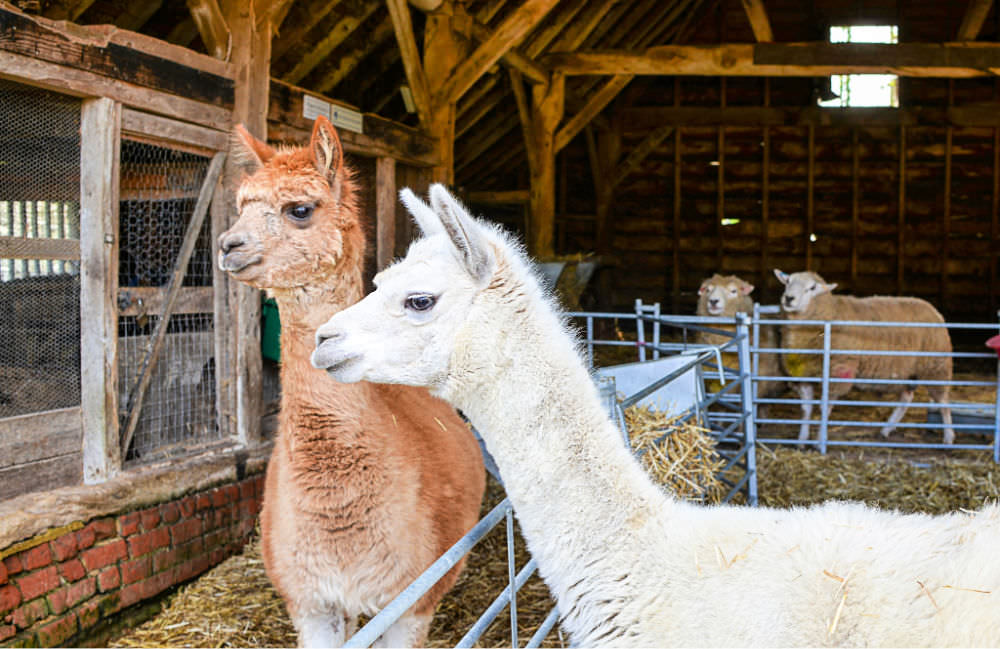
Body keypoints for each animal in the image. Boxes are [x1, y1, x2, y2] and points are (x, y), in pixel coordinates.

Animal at [772, 270, 952, 446]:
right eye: (787, 281)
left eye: (813, 287)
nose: (788, 298)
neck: (830, 312)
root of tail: (933, 310)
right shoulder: (803, 376)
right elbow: (806, 408)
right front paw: (802, 439)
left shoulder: (839, 372)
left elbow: (825, 409)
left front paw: (819, 441)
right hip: (909, 372)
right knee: (906, 398)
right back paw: (886, 429)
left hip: (936, 366)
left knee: (943, 401)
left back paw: (949, 437)